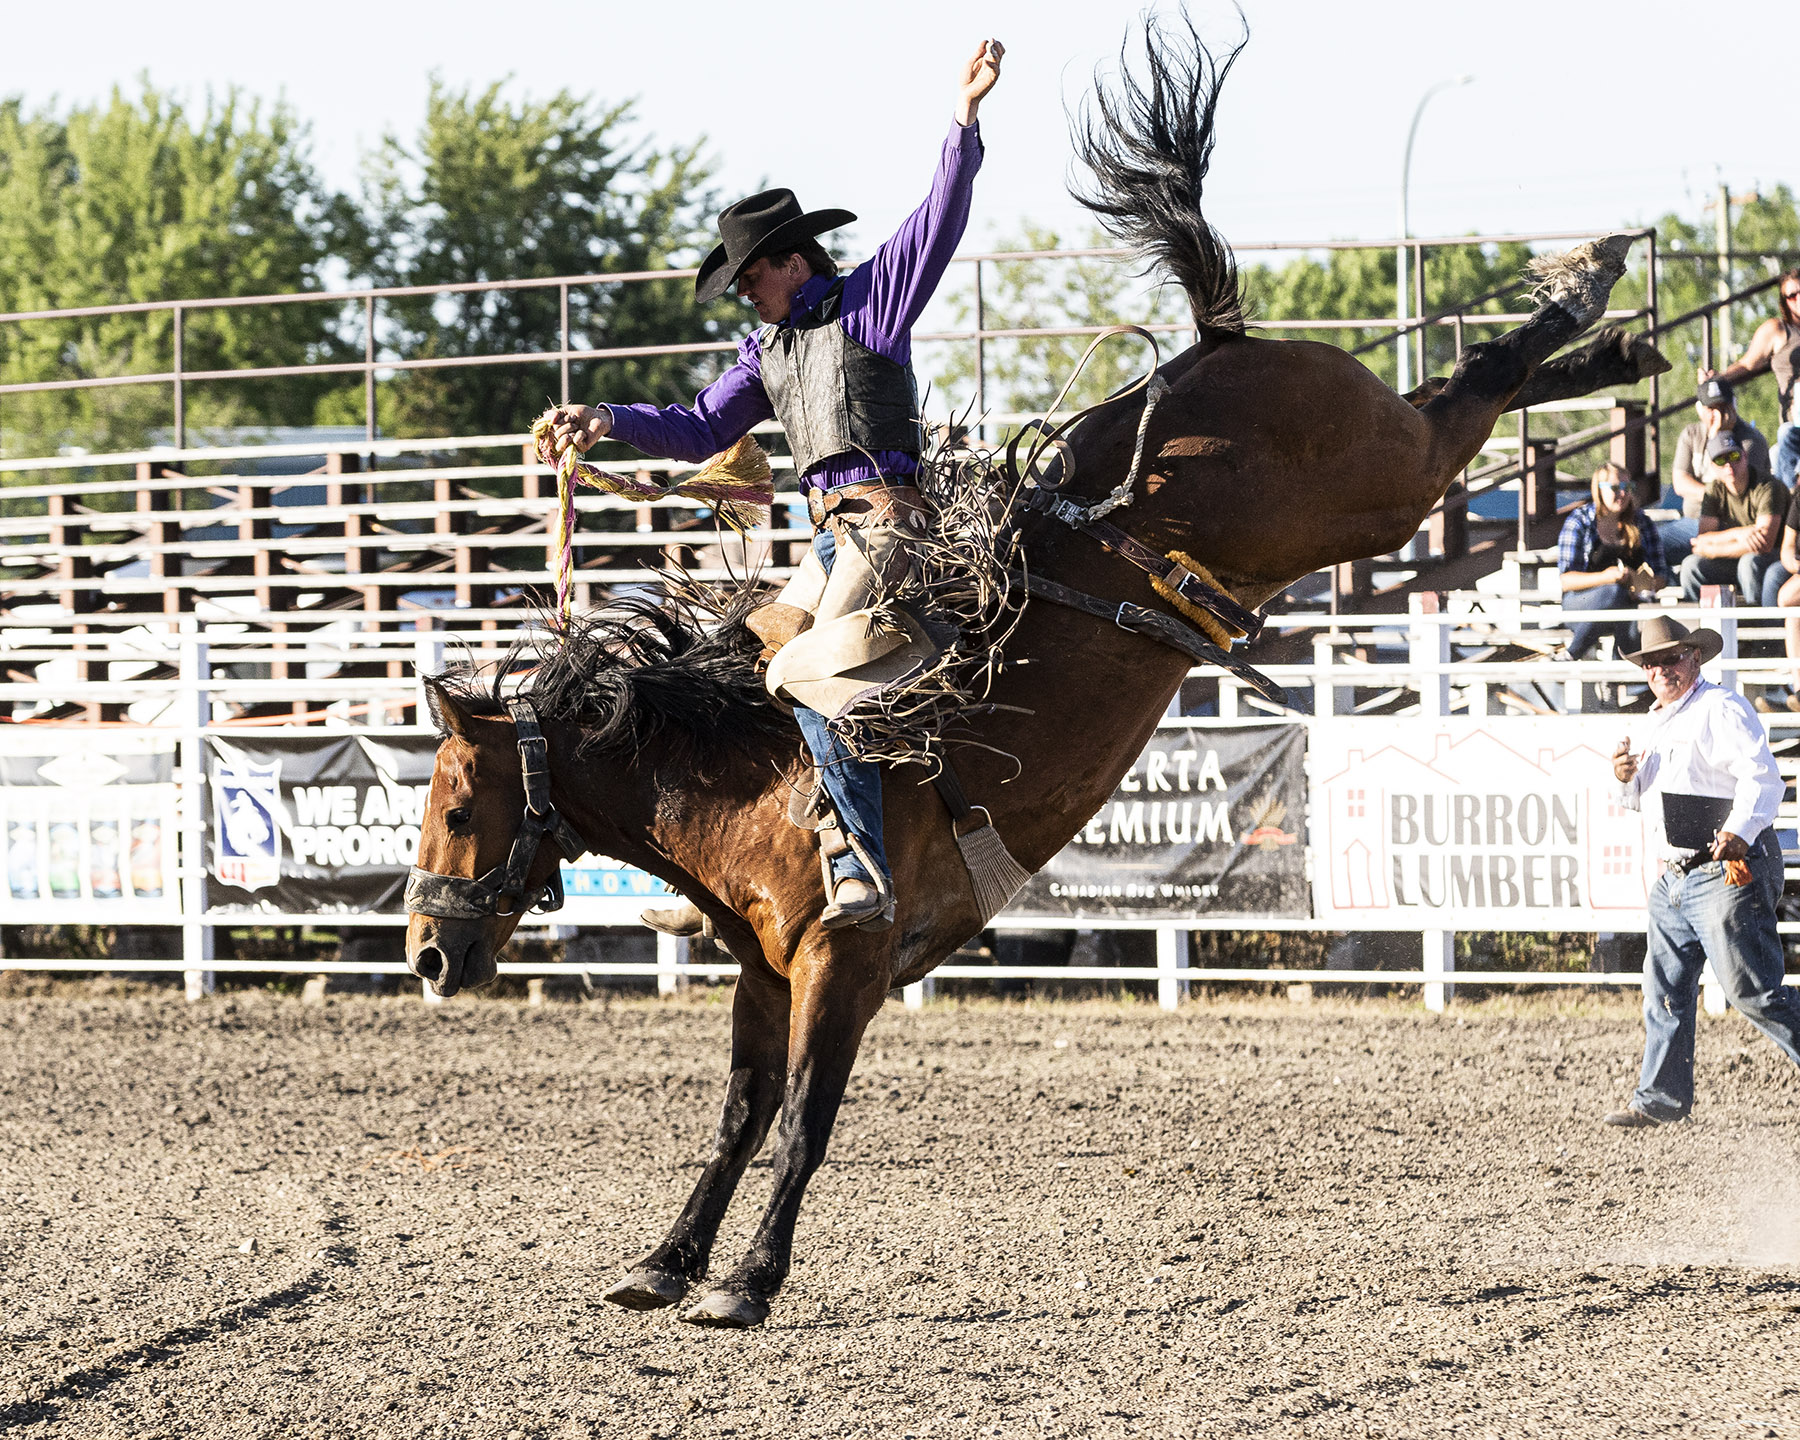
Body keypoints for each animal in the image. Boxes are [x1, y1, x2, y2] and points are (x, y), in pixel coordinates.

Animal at [405, 19, 1656, 1324]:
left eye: (457, 807)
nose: (428, 956)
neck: (750, 780)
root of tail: (1209, 352)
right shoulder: (760, 973)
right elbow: (739, 1119)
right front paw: (667, 1258)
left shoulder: (844, 965)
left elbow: (801, 1123)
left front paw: (746, 1280)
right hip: (1369, 474)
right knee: (1454, 391)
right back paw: (1615, 339)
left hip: (1377, 488)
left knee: (1469, 391)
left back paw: (1592, 283)